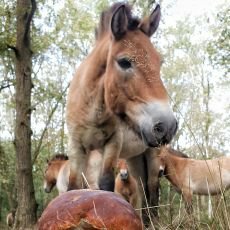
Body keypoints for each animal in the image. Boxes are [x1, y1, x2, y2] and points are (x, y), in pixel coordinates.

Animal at [65, 2, 177, 192]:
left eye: (159, 63)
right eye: (124, 62)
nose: (167, 126)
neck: (91, 111)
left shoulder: (112, 144)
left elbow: (106, 183)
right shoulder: (76, 147)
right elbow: (73, 187)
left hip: (152, 158)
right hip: (135, 160)